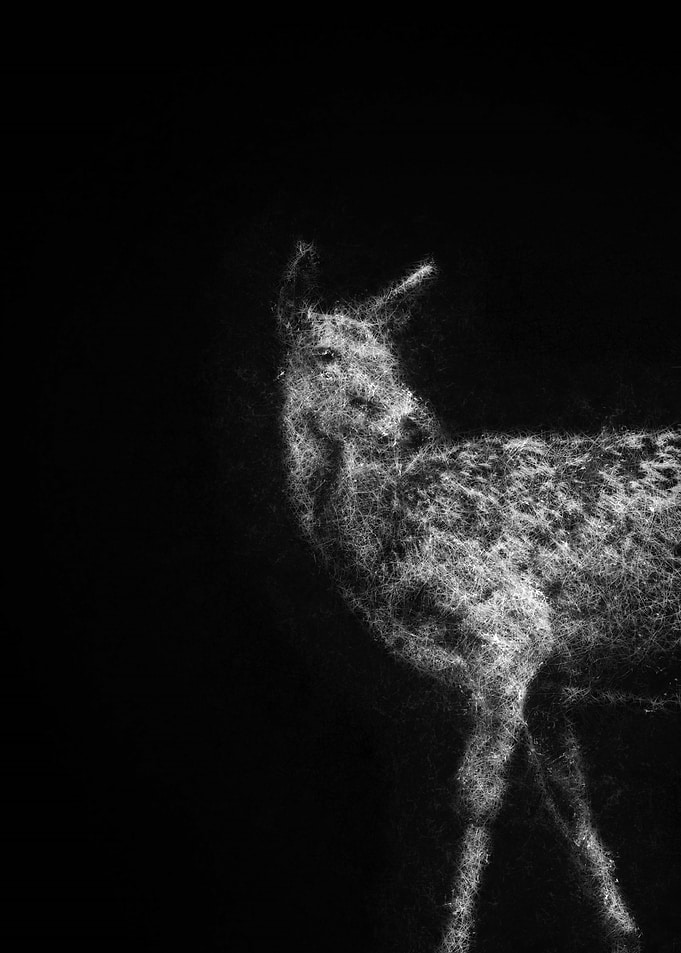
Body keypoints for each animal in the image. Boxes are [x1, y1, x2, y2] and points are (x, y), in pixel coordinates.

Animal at [276, 241, 680, 953]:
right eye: (323, 353)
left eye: (393, 353)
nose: (413, 422)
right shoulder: (549, 678)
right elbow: (571, 805)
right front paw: (626, 931)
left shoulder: (513, 632)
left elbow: (476, 794)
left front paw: (453, 938)